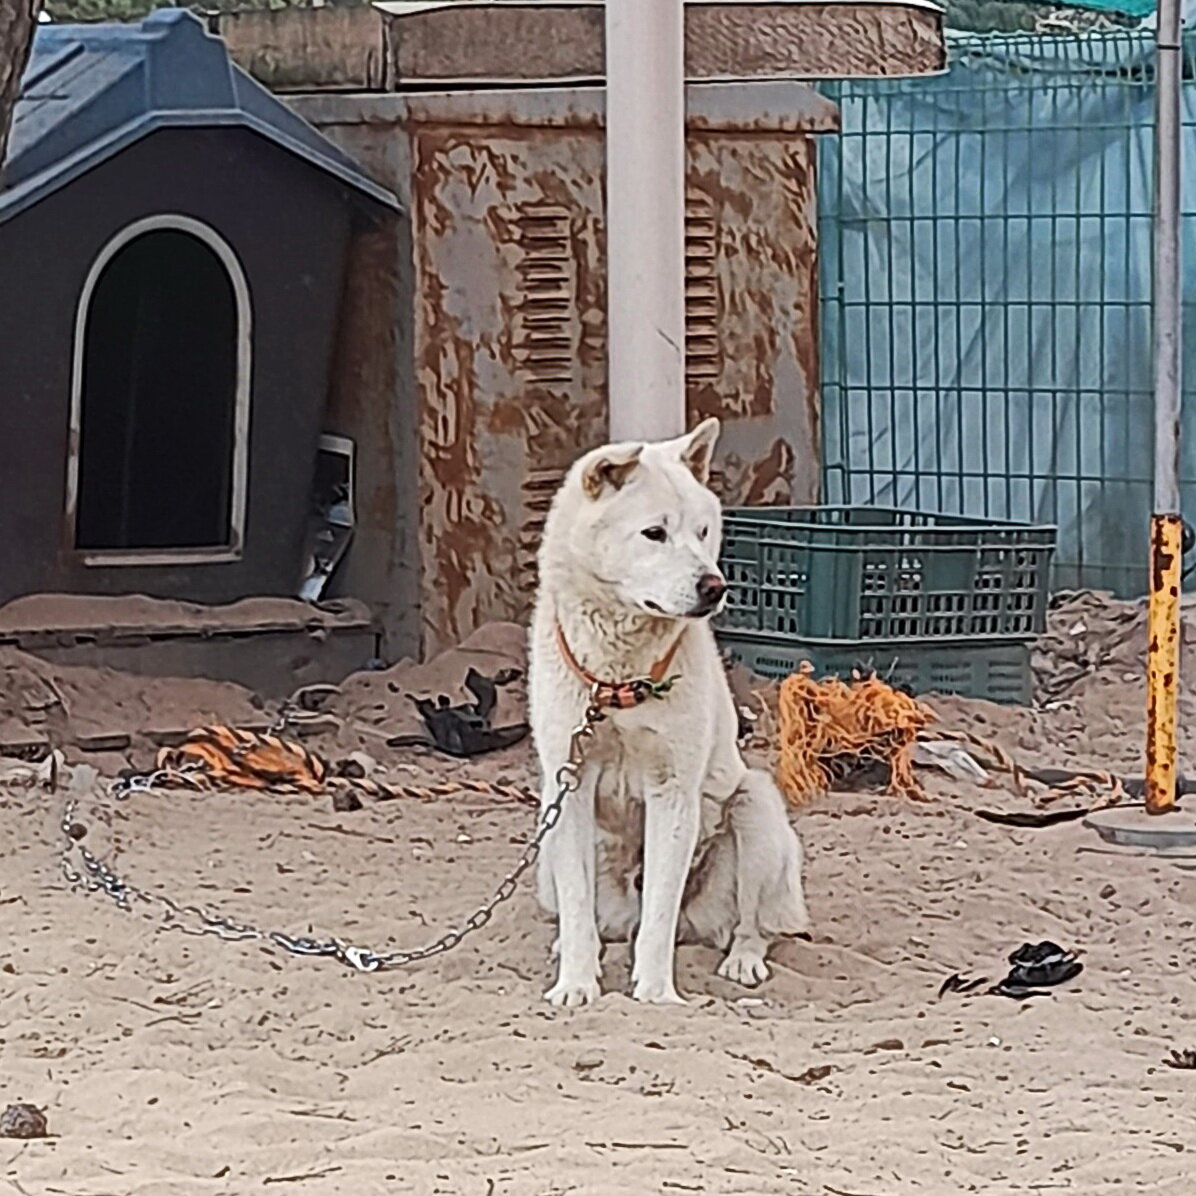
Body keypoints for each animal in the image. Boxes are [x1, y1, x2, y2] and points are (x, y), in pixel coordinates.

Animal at [528, 416, 808, 1004]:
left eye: (703, 532)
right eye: (654, 534)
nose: (715, 586)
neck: (617, 681)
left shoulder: (672, 788)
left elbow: (659, 913)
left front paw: (656, 993)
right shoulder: (570, 783)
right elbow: (578, 907)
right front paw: (576, 985)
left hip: (756, 807)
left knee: (751, 926)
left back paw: (743, 961)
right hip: (545, 832)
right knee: (593, 919)